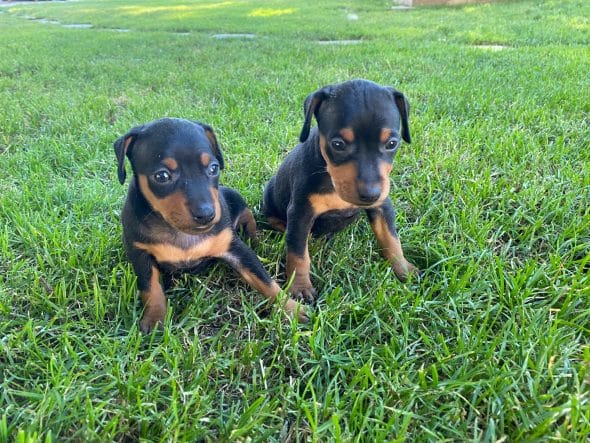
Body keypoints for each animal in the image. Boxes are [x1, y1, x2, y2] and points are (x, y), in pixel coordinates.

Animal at [114, 116, 306, 332]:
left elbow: (265, 280)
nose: (207, 214)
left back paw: (255, 239)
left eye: (213, 168)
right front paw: (154, 320)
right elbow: (150, 287)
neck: (180, 232)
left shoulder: (235, 249)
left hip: (236, 199)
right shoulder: (139, 253)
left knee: (249, 219)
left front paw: (292, 308)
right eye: (161, 176)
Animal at [264, 80, 420, 302]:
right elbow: (297, 253)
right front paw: (300, 287)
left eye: (392, 143)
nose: (371, 194)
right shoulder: (300, 212)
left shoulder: (382, 206)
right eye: (338, 144)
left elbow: (391, 239)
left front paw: (404, 270)